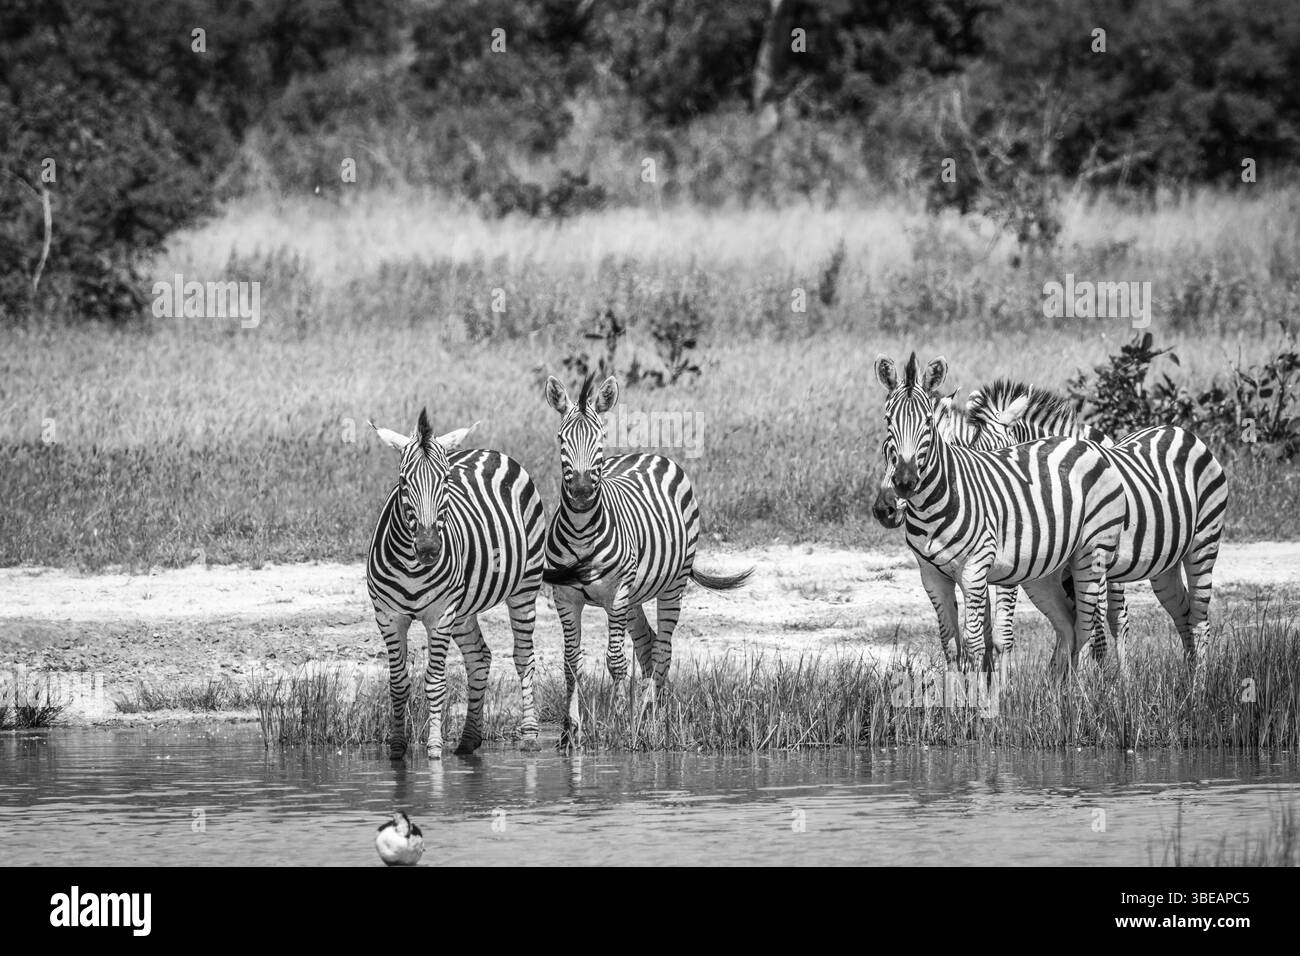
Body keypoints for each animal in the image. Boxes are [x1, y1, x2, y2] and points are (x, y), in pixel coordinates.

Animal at [367, 409, 545, 760]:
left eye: (446, 480)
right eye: (403, 482)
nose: (428, 548)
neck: (412, 566)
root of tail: (490, 452)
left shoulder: (440, 616)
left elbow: (435, 681)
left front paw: (434, 750)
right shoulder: (389, 617)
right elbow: (398, 682)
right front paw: (397, 749)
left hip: (525, 587)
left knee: (523, 657)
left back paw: (530, 736)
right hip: (464, 609)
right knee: (479, 657)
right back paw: (468, 740)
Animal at [541, 373, 751, 751]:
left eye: (600, 438)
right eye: (561, 439)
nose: (580, 493)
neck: (580, 531)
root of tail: (648, 454)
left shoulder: (616, 595)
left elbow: (615, 661)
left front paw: (616, 725)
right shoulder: (565, 598)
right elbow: (571, 662)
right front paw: (570, 732)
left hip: (670, 586)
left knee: (664, 647)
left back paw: (649, 717)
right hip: (634, 597)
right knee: (648, 643)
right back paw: (651, 712)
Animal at [873, 353, 1128, 679]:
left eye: (994, 453)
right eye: (885, 434)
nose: (886, 508)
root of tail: (1093, 435)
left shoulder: (1006, 570)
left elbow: (1000, 636)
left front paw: (1001, 686)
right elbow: (978, 634)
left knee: (1111, 617)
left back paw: (1113, 677)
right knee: (1071, 619)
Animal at [943, 379, 1227, 670]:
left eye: (998, 456)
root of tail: (1177, 430)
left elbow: (1090, 628)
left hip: (1200, 543)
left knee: (1174, 619)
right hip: (1164, 563)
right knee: (1182, 614)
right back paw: (1186, 674)